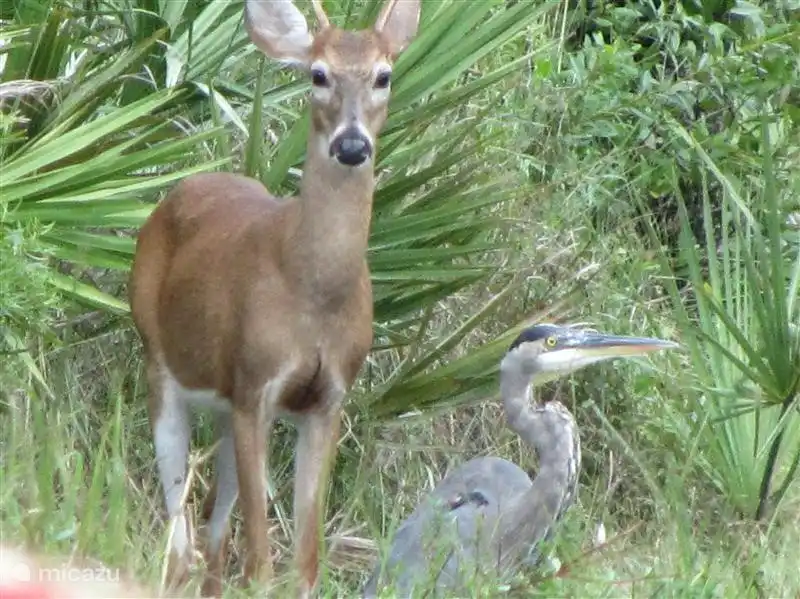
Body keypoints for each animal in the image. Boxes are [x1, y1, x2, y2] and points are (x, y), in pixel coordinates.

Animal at [127, 0, 421, 596]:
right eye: (318, 74)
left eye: (384, 75)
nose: (351, 145)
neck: (313, 298)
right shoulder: (256, 384)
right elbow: (261, 563)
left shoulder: (327, 398)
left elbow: (304, 565)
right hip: (161, 361)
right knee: (180, 533)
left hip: (224, 404)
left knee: (212, 535)